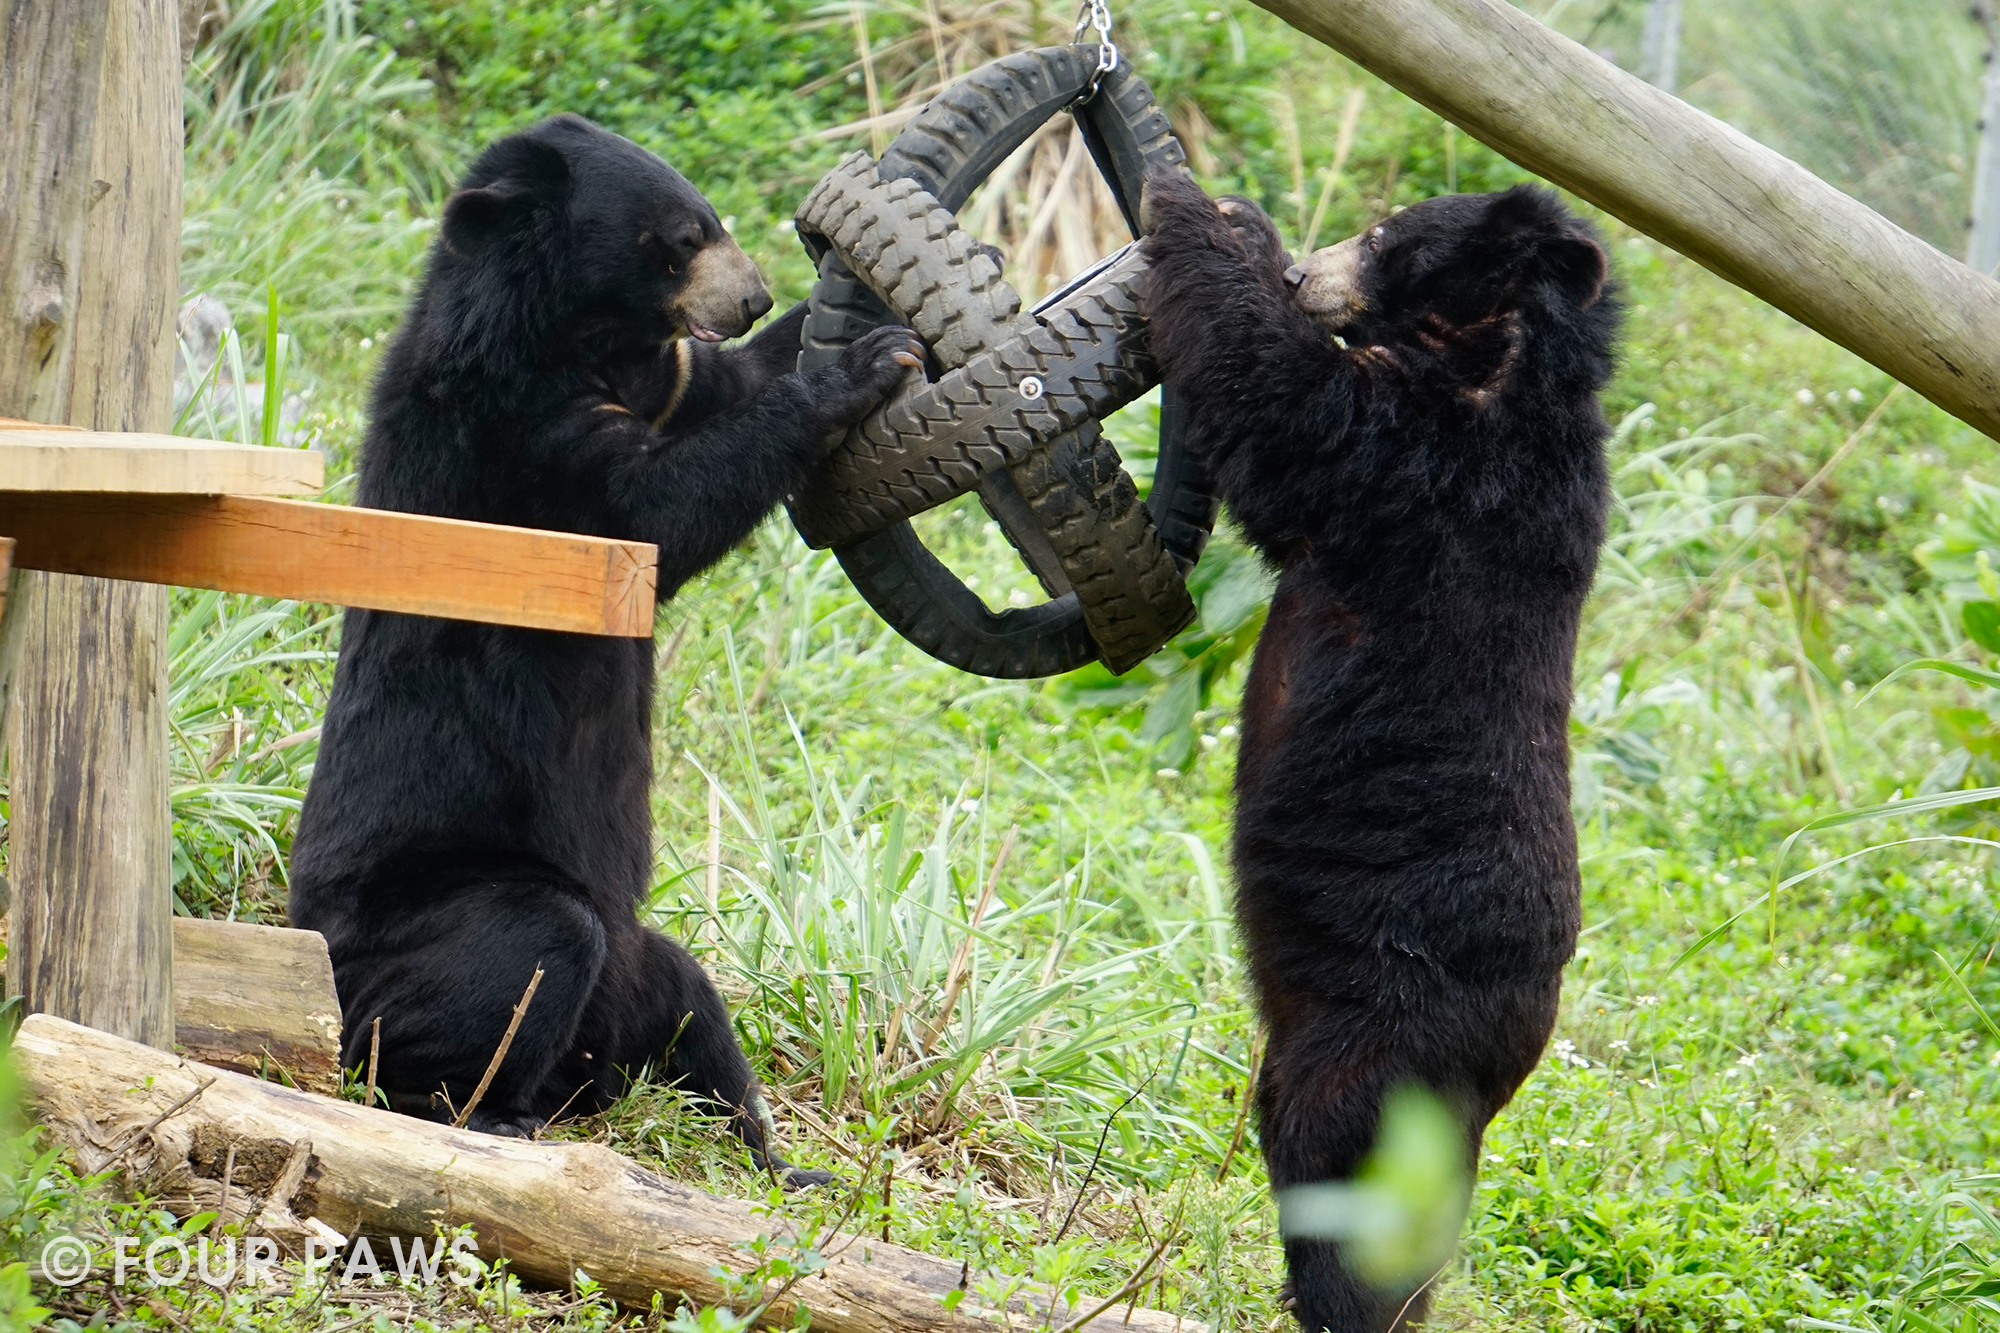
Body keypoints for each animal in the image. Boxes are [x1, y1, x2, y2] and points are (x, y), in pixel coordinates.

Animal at [288, 111, 920, 1176]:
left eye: (711, 219)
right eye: (678, 238)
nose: (750, 296)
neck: (579, 343)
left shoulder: (667, 378)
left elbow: (731, 381)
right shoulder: (521, 447)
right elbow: (656, 514)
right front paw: (867, 361)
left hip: (640, 972)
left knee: (695, 1012)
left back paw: (777, 1156)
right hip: (426, 912)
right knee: (516, 955)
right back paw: (475, 1109)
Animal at [1136, 171, 1616, 1320]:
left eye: (1387, 235)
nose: (1304, 276)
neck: (1498, 361)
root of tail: (1513, 1053)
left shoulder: (1428, 466)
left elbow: (1285, 412)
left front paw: (1207, 214)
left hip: (1384, 1023)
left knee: (1337, 1169)